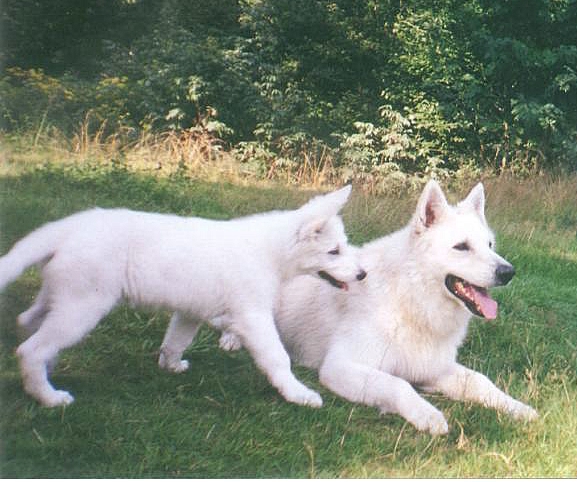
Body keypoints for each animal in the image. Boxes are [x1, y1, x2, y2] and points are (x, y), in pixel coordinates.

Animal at [0, 185, 366, 406]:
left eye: (343, 247)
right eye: (334, 251)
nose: (363, 274)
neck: (271, 252)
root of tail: (68, 227)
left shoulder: (191, 311)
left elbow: (176, 340)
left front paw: (171, 366)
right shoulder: (253, 317)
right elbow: (278, 357)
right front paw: (298, 393)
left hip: (59, 296)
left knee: (27, 321)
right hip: (83, 306)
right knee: (30, 348)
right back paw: (48, 396)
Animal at [219, 180, 536, 434]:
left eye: (490, 245)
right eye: (461, 247)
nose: (508, 272)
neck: (409, 300)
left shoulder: (434, 368)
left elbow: (481, 382)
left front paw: (517, 407)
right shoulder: (340, 367)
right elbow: (399, 385)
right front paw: (427, 414)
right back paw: (231, 339)